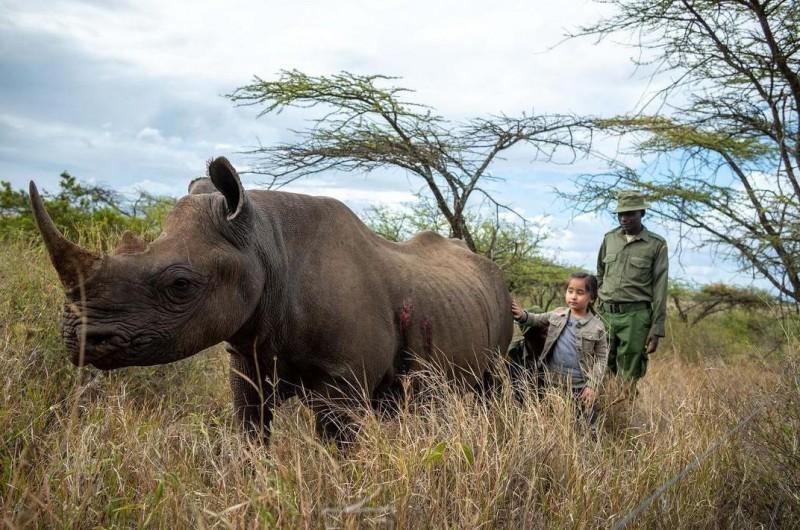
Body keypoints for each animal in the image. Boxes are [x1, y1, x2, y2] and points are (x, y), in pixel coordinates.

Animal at [30, 157, 513, 442]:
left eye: (181, 284)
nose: (77, 339)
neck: (265, 246)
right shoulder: (247, 358)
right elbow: (250, 433)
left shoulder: (344, 382)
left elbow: (340, 444)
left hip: (500, 300)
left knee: (489, 389)